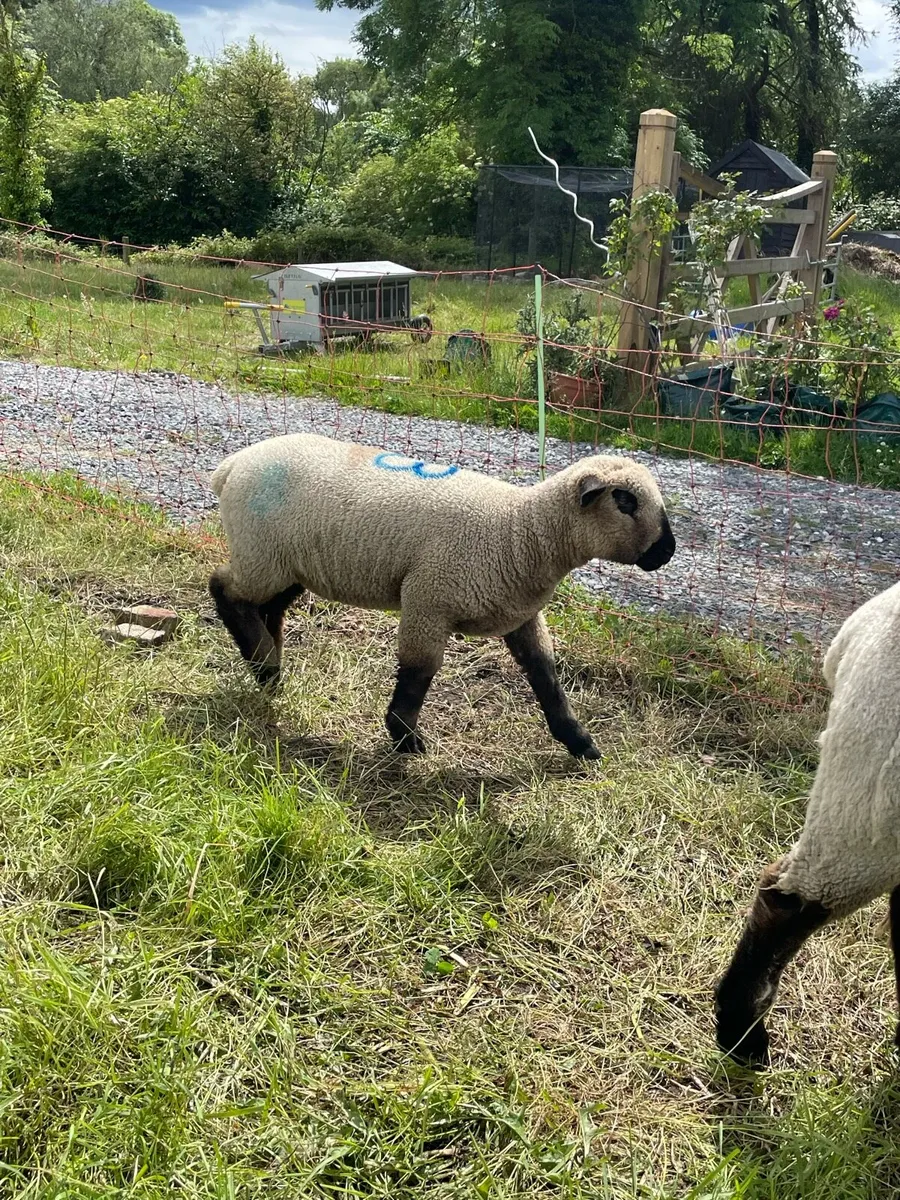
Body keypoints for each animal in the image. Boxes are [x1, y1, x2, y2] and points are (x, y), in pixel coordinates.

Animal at [207, 431, 675, 758]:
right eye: (625, 501)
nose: (667, 551)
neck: (520, 530)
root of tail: (232, 464)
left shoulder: (522, 615)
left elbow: (546, 677)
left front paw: (579, 742)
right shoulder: (428, 600)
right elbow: (419, 673)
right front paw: (404, 737)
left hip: (288, 564)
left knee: (267, 607)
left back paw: (268, 667)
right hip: (261, 553)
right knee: (225, 590)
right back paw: (266, 665)